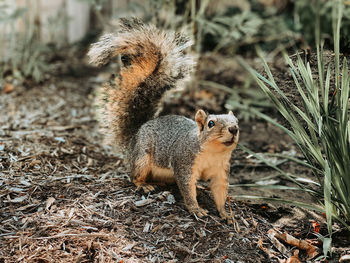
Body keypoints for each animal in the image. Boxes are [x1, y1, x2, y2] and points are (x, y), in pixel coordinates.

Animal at [89, 18, 239, 223]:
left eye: (237, 122)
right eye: (211, 124)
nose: (233, 129)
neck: (213, 153)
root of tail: (137, 132)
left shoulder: (220, 172)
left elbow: (220, 192)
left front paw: (225, 214)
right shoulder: (184, 163)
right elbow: (187, 189)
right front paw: (196, 208)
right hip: (142, 157)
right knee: (134, 176)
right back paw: (143, 184)